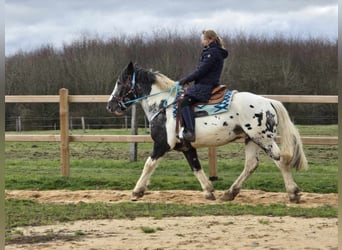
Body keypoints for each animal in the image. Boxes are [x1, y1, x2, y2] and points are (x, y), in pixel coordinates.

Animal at [106, 62, 308, 203]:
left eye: (119, 82)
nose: (110, 105)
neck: (163, 105)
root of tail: (269, 101)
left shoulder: (162, 144)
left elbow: (148, 165)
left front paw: (136, 192)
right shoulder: (187, 147)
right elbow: (196, 167)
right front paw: (209, 191)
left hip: (264, 139)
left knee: (281, 160)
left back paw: (293, 193)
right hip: (251, 139)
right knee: (251, 165)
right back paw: (229, 193)